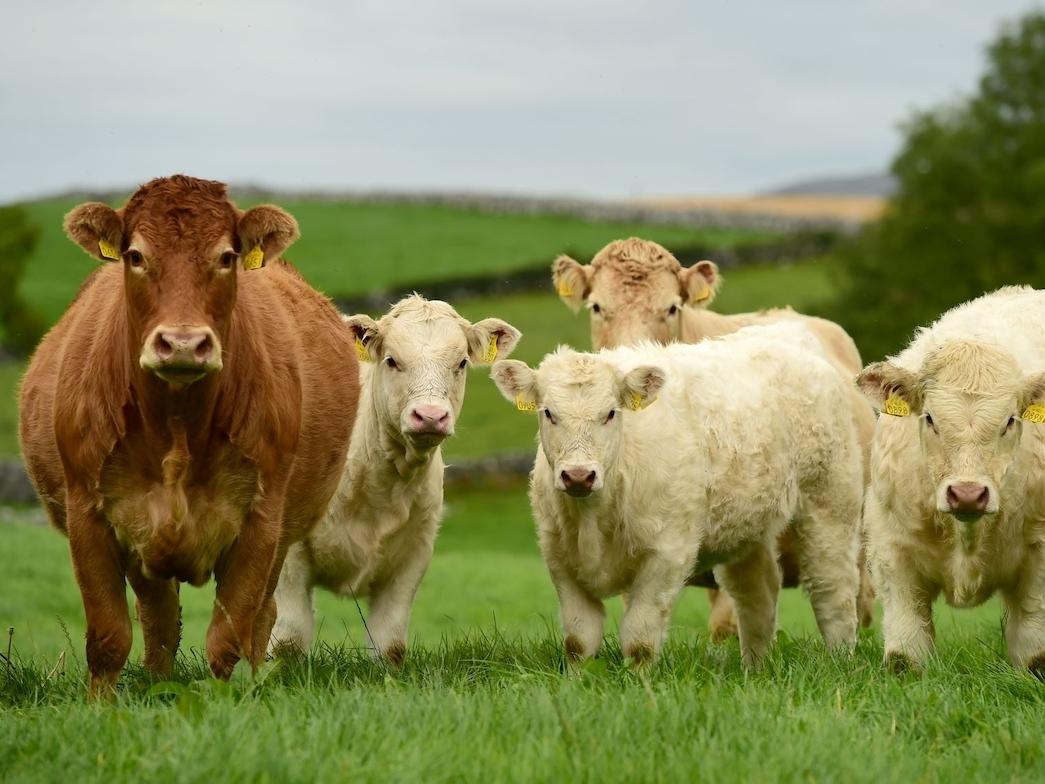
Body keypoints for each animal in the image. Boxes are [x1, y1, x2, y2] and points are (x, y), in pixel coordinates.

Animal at [16, 176, 357, 694]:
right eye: (136, 255)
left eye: (226, 256)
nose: (181, 344)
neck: (176, 424)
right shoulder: (88, 514)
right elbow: (109, 636)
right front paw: (102, 705)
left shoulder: (261, 522)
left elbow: (228, 636)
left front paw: (224, 700)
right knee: (159, 622)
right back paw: (157, 685)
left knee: (259, 618)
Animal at [271, 294, 520, 664]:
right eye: (392, 360)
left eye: (461, 362)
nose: (430, 416)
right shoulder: (286, 551)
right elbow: (288, 640)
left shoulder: (413, 554)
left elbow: (388, 644)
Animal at [493, 326, 861, 669]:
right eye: (548, 412)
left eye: (611, 413)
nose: (579, 475)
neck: (593, 519)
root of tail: (789, 333)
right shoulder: (559, 557)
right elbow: (578, 640)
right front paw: (577, 683)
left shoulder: (667, 554)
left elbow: (639, 639)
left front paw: (640, 685)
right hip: (748, 525)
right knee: (759, 593)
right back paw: (755, 669)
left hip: (830, 503)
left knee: (834, 592)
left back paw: (841, 662)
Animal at [861, 288, 1045, 677]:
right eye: (930, 418)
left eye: (1010, 420)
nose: (968, 494)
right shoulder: (892, 551)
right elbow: (905, 654)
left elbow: (1034, 651)